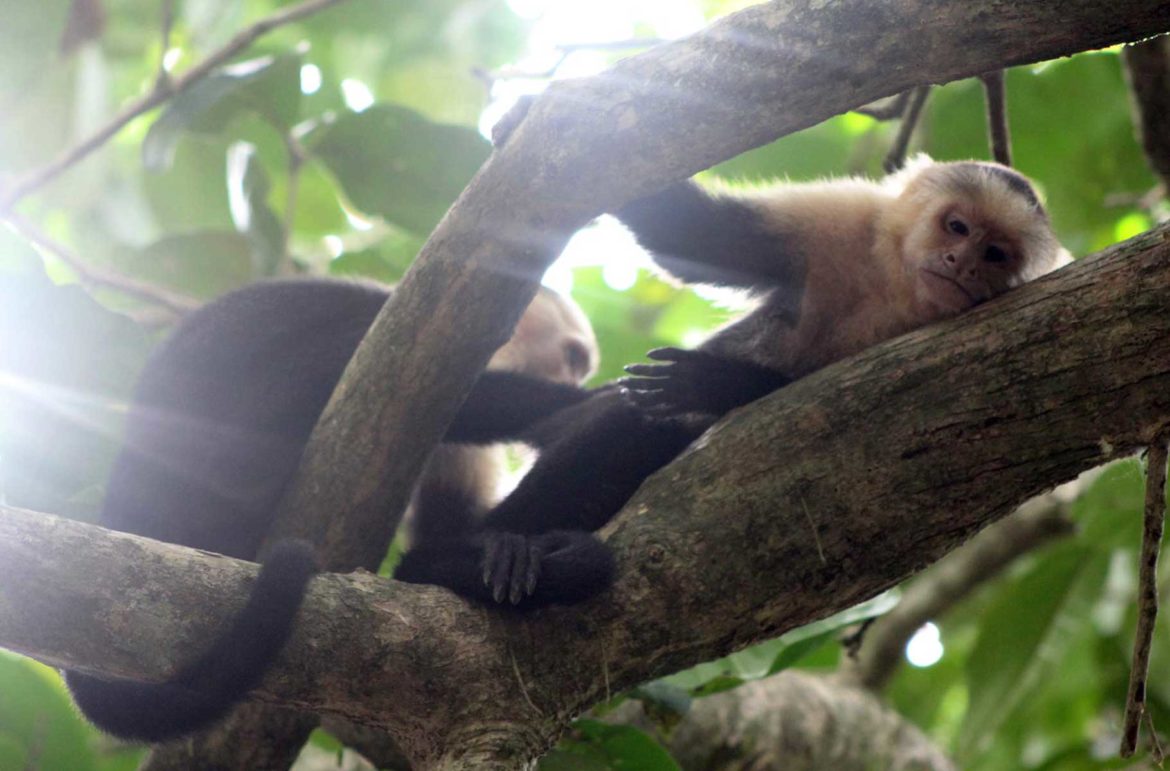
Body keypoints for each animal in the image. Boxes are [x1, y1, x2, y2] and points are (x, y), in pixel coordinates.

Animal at [66, 277, 603, 744]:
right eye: (572, 358)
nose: (574, 376)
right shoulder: (408, 333)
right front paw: (595, 401)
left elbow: (446, 524)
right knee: (312, 370)